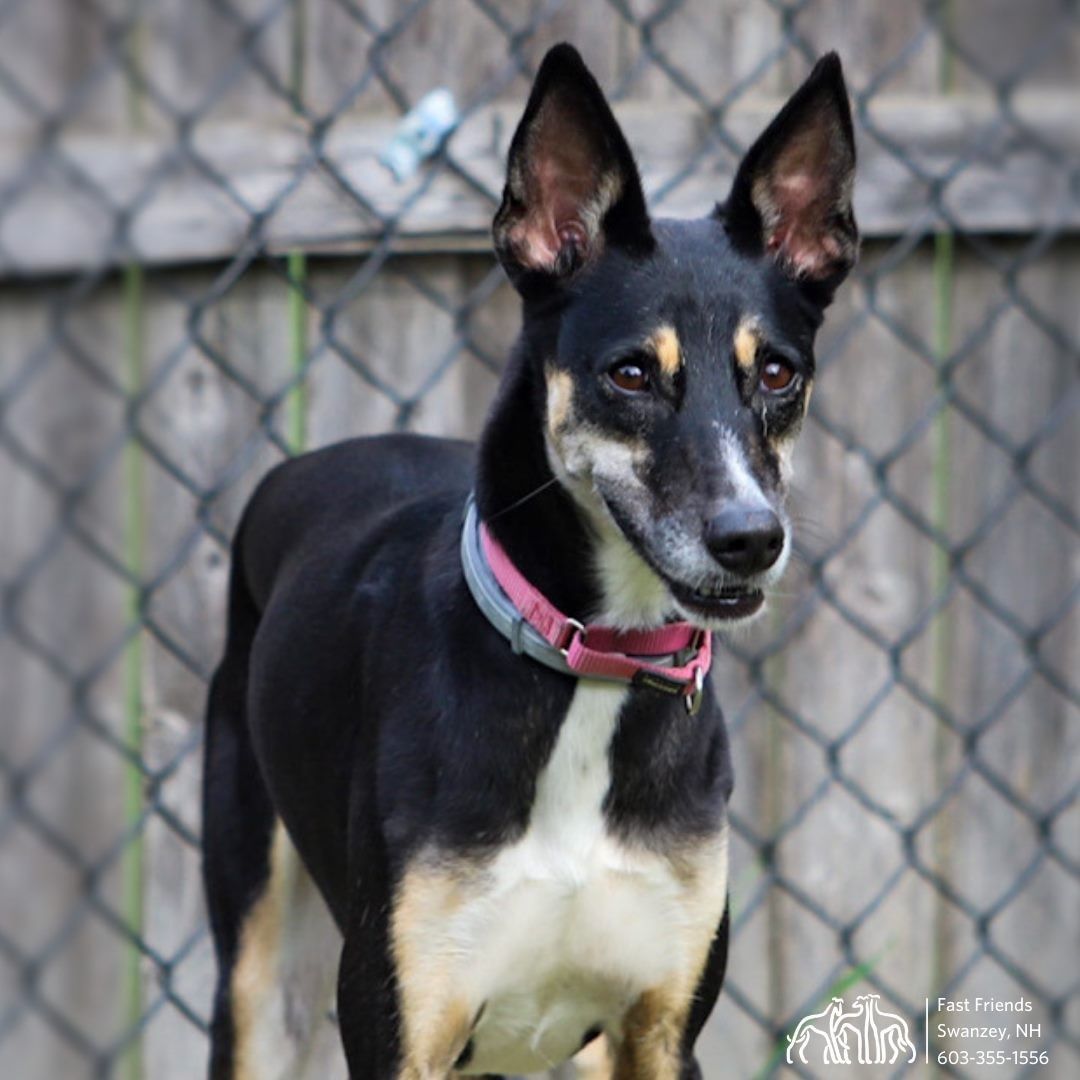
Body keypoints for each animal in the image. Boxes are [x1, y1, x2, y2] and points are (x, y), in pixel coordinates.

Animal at [203, 44, 855, 1080]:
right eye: (630, 373)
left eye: (779, 372)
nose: (751, 538)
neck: (589, 670)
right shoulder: (399, 1026)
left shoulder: (659, 1030)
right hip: (257, 972)